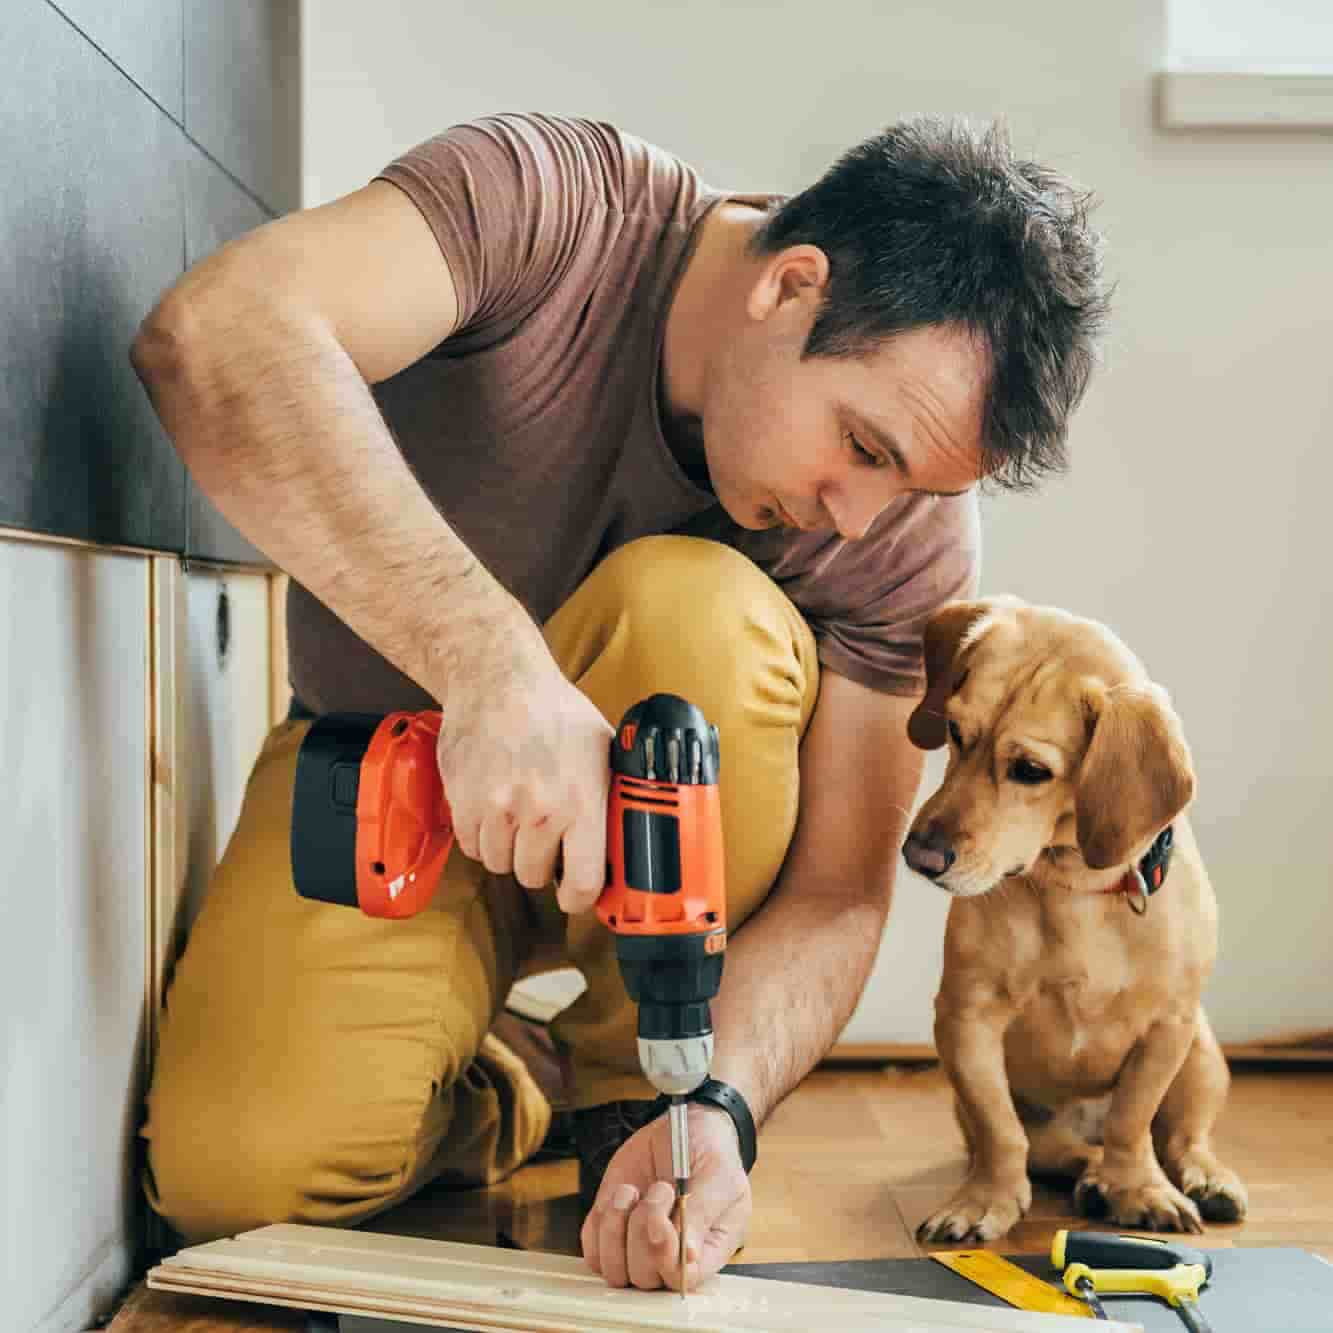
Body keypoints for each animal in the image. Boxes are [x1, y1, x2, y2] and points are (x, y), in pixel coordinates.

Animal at [906, 594, 1247, 1237]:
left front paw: (1138, 1188)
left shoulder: (1167, 1028)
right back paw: (1090, 1179)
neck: (1074, 891)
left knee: (1183, 1138)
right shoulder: (966, 1019)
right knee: (1063, 1152)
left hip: (1201, 1055)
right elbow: (999, 1131)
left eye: (1031, 771)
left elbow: (1131, 1122)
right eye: (956, 732)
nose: (919, 856)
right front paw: (985, 1199)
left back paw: (1202, 1178)